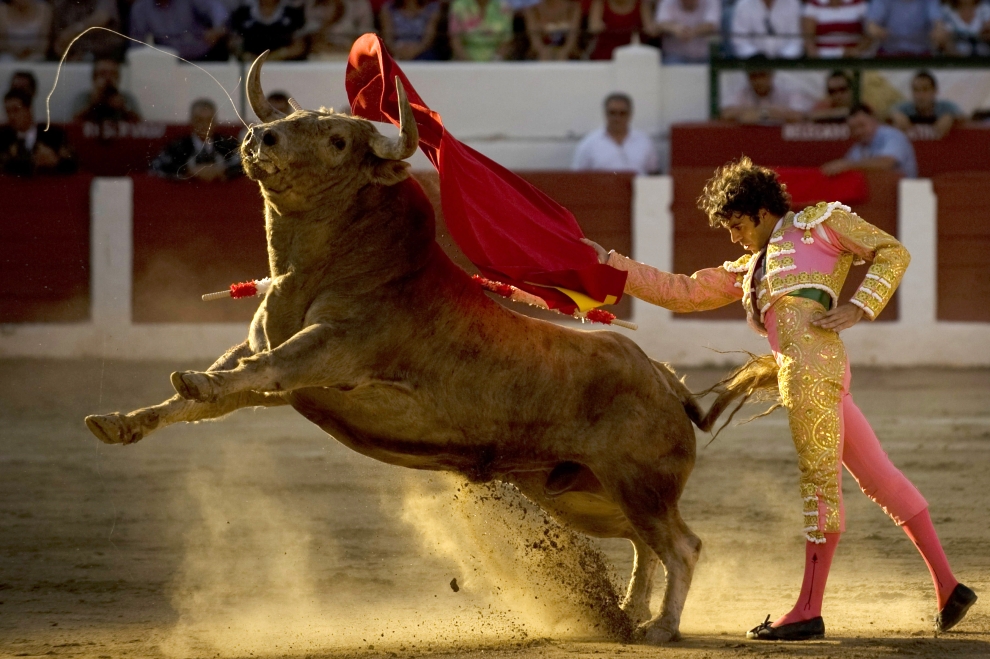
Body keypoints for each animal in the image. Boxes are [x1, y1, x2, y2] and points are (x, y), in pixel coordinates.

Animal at [85, 55, 756, 644]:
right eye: (300, 121)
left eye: (338, 141)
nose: (261, 139)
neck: (320, 271)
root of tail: (667, 380)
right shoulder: (277, 371)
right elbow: (207, 394)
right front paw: (121, 421)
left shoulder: (331, 351)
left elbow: (259, 368)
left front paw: (193, 382)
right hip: (585, 493)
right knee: (646, 545)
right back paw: (628, 616)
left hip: (638, 483)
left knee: (682, 545)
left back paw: (661, 627)